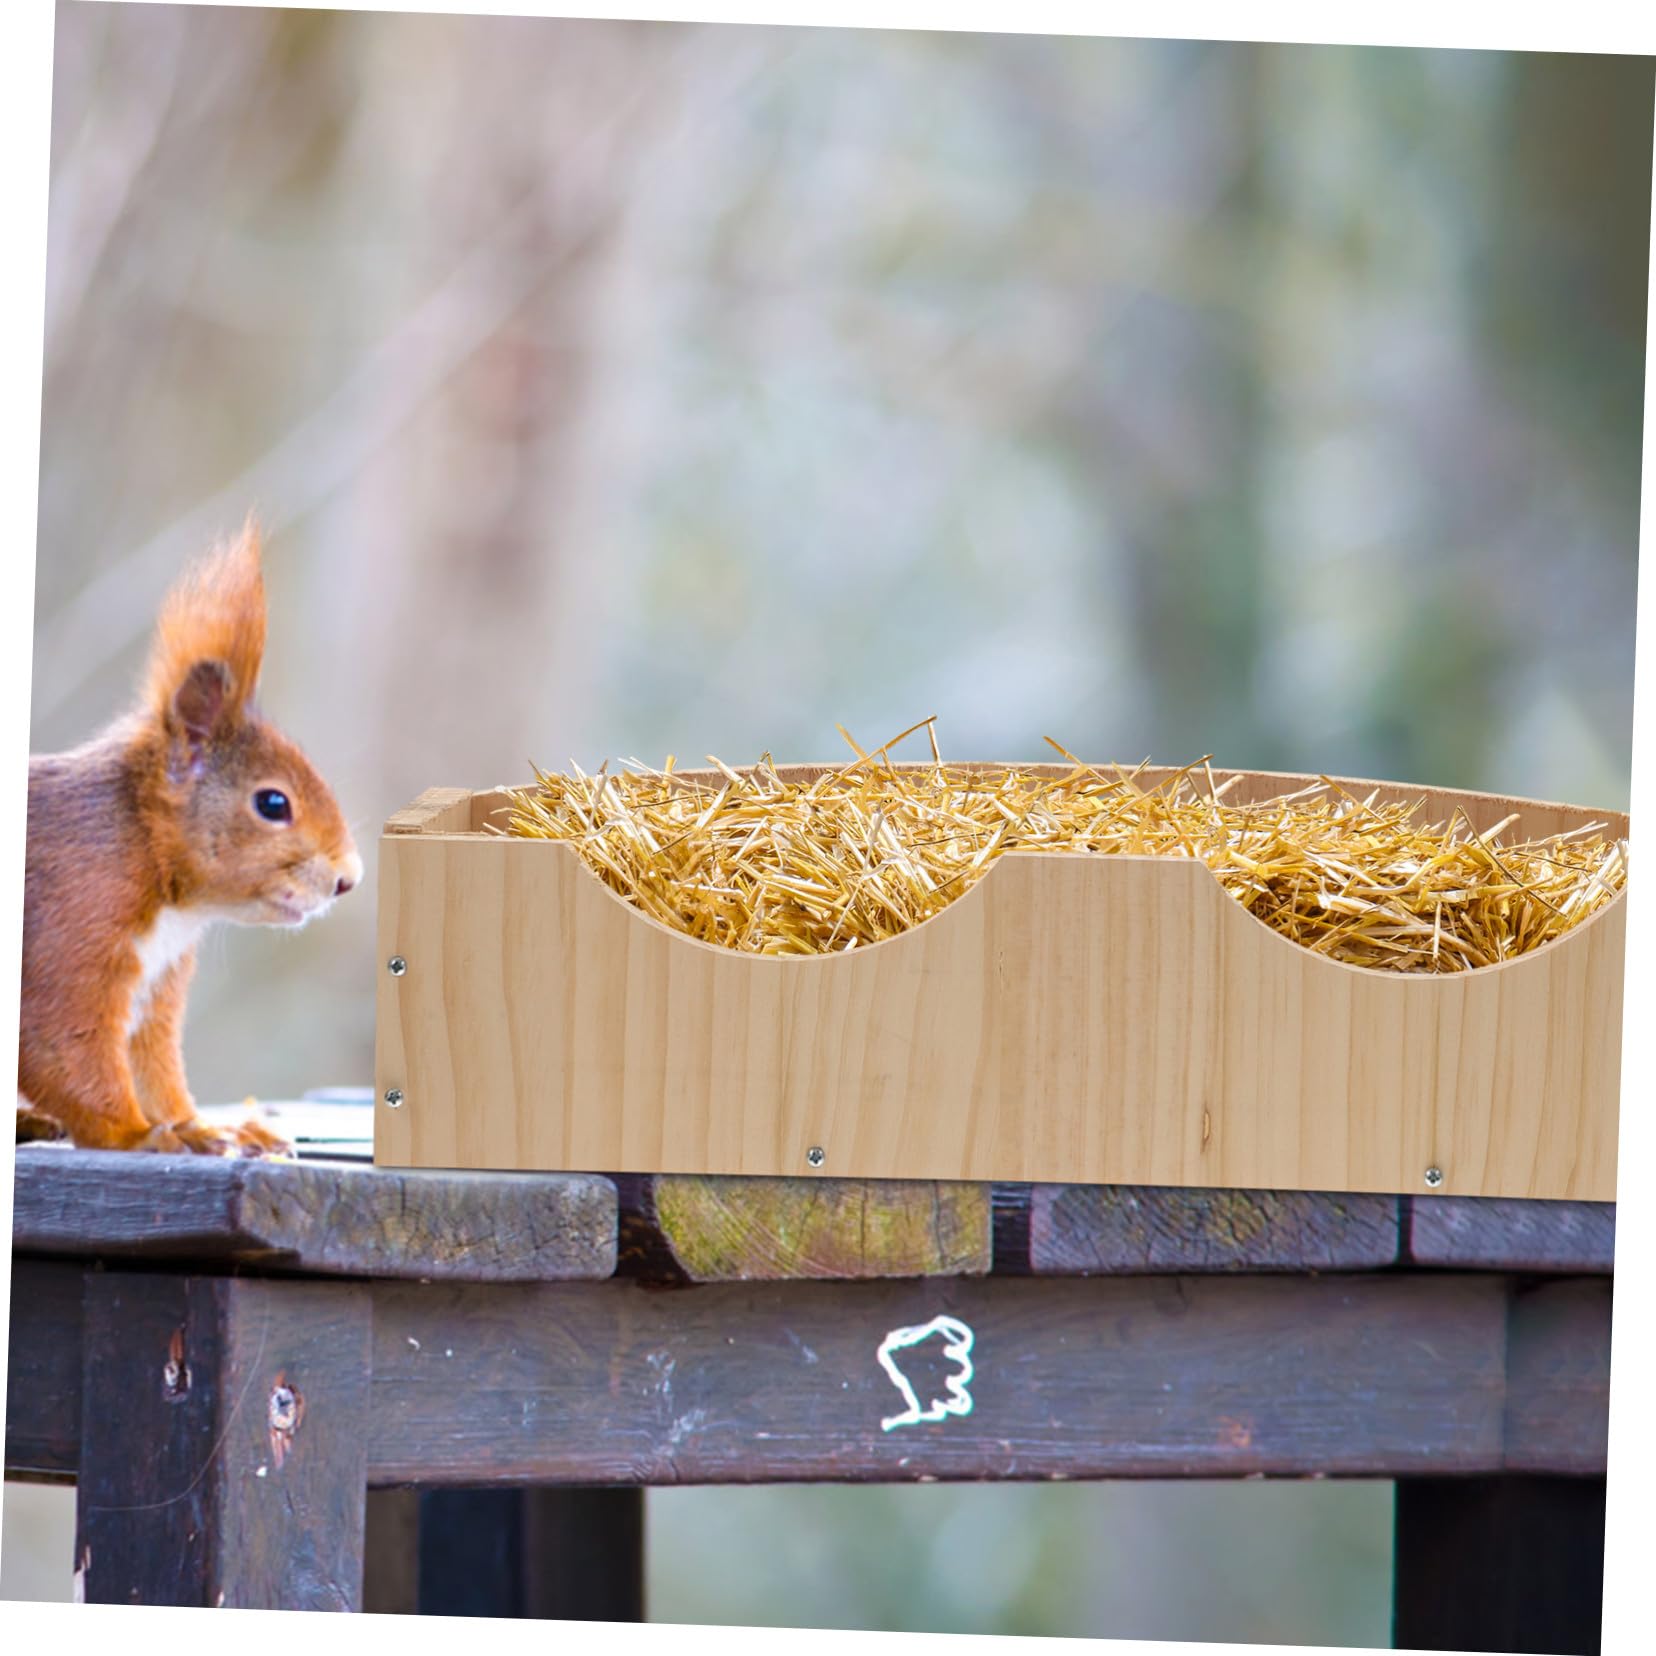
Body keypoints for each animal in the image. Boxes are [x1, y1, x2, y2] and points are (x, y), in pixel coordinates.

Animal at [17, 518, 361, 1155]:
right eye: (273, 803)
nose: (348, 878)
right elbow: (62, 1049)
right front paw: (138, 1136)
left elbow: (154, 1068)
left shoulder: (156, 989)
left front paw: (207, 1126)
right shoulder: (68, 930)